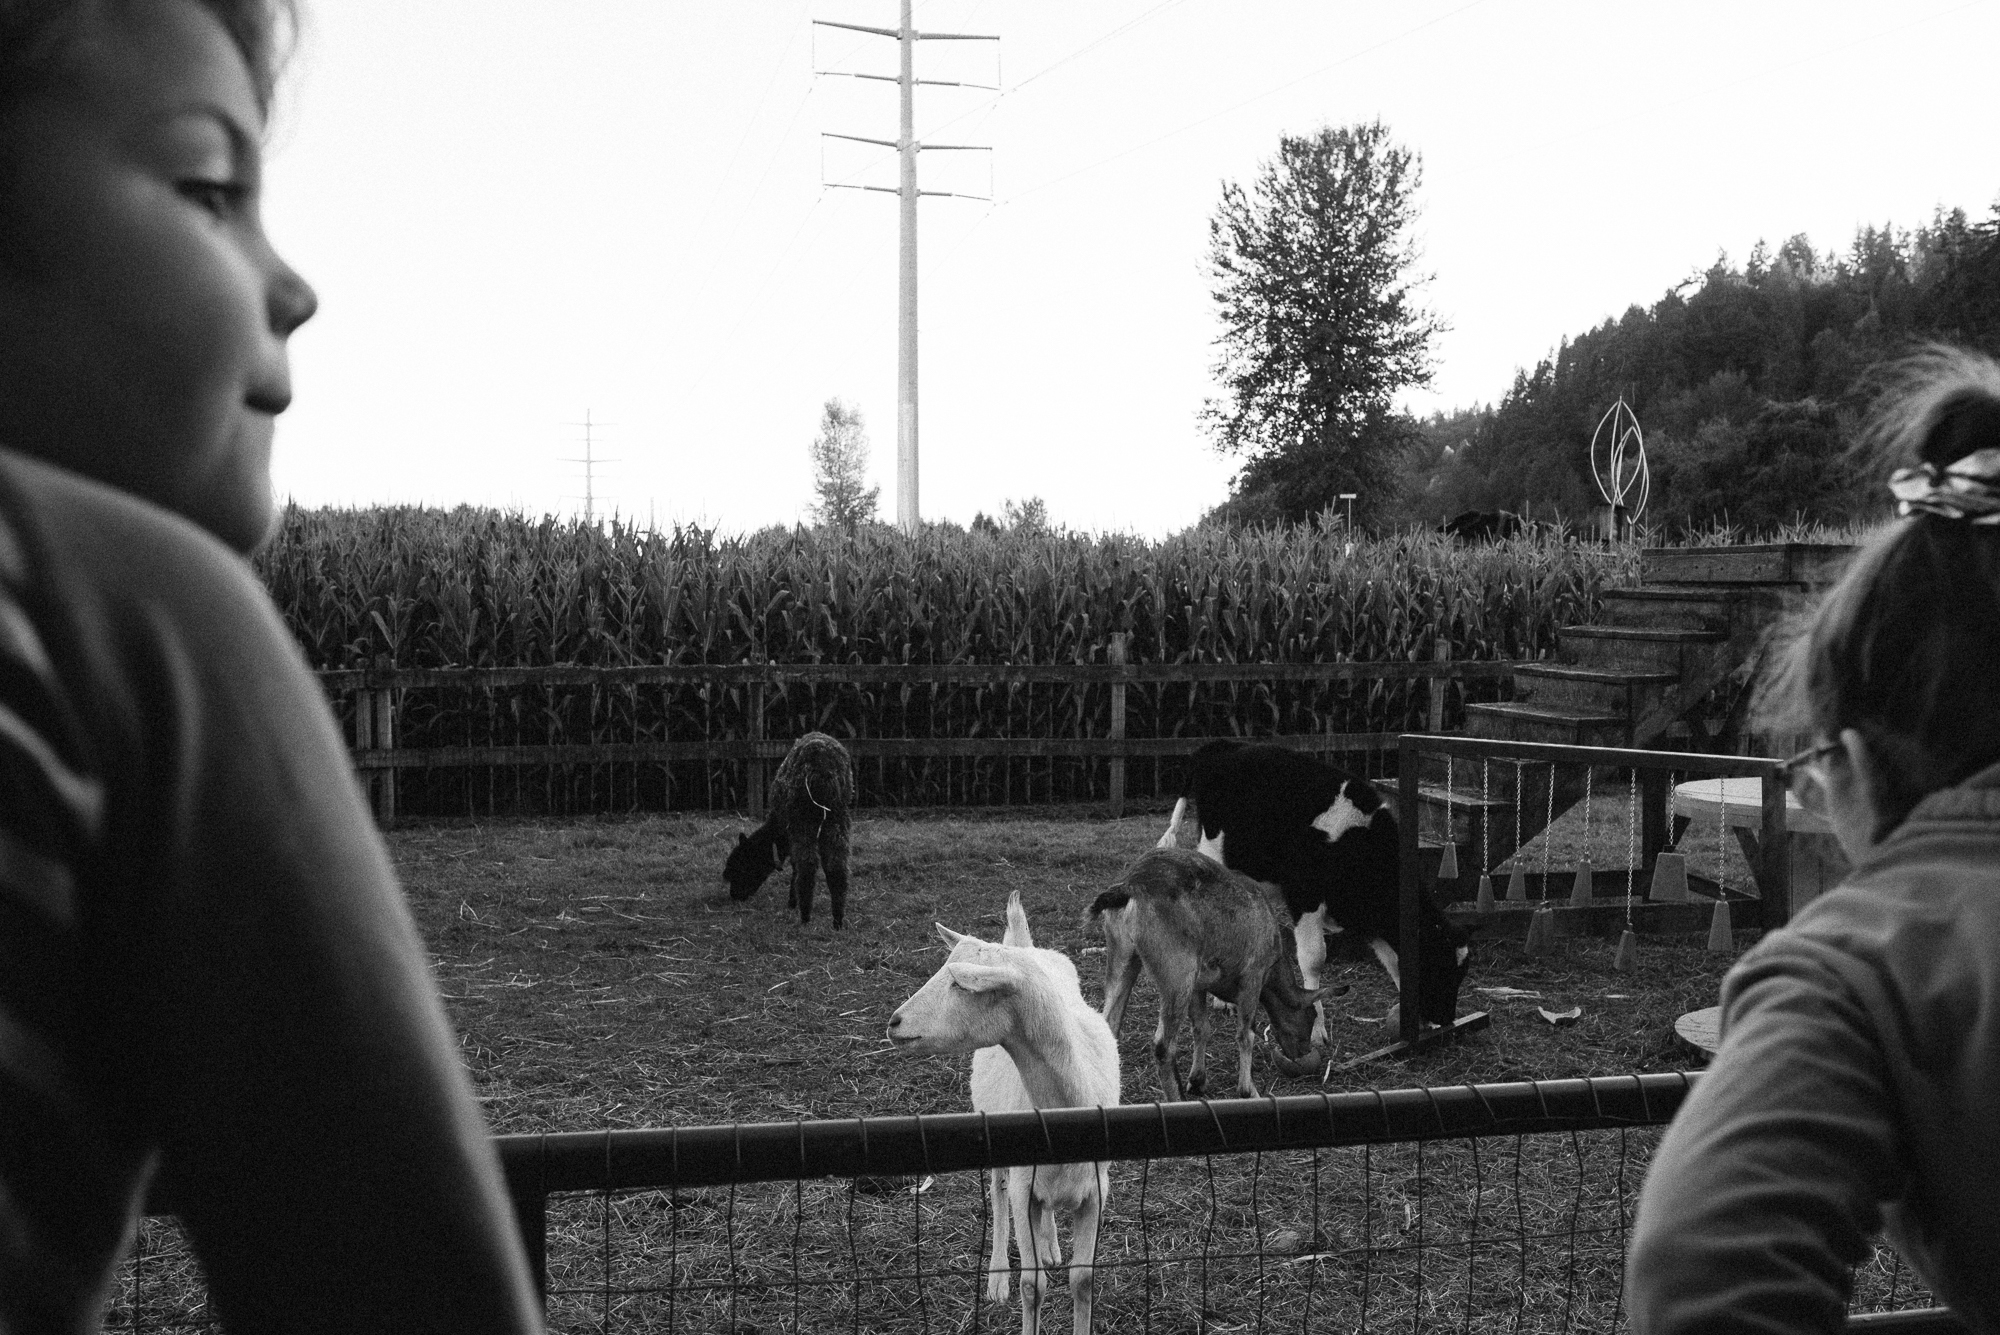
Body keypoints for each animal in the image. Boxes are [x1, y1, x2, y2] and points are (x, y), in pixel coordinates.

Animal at [724, 731, 856, 927]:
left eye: (741, 867)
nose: (734, 896)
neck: (776, 832)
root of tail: (823, 762)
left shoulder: (790, 831)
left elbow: (795, 866)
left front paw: (792, 902)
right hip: (838, 816)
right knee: (837, 866)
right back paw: (838, 921)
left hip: (802, 817)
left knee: (807, 866)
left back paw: (805, 916)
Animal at [888, 891, 1120, 1335]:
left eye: (959, 983)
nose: (894, 1022)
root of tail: (1023, 944)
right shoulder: (1023, 1189)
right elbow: (1033, 1285)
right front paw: (1017, 1284)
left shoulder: (1095, 1192)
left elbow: (1083, 1280)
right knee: (996, 1194)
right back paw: (997, 1276)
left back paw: (1050, 1245)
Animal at [1088, 851, 1320, 1103]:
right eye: (1310, 1015)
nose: (1303, 1053)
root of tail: (1129, 887)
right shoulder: (1253, 975)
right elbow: (1246, 1033)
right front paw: (1248, 1091)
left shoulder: (1198, 984)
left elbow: (1202, 1027)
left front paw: (1197, 1081)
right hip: (1176, 970)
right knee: (1163, 1045)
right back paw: (1176, 1097)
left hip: (1123, 954)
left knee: (1110, 1022)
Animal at [1160, 739, 1472, 1031]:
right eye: (1439, 967)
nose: (1446, 1019)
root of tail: (1224, 745)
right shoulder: (1305, 894)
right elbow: (1314, 958)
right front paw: (1316, 1030)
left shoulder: (1368, 914)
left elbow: (1393, 961)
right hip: (1214, 851)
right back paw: (1221, 1000)